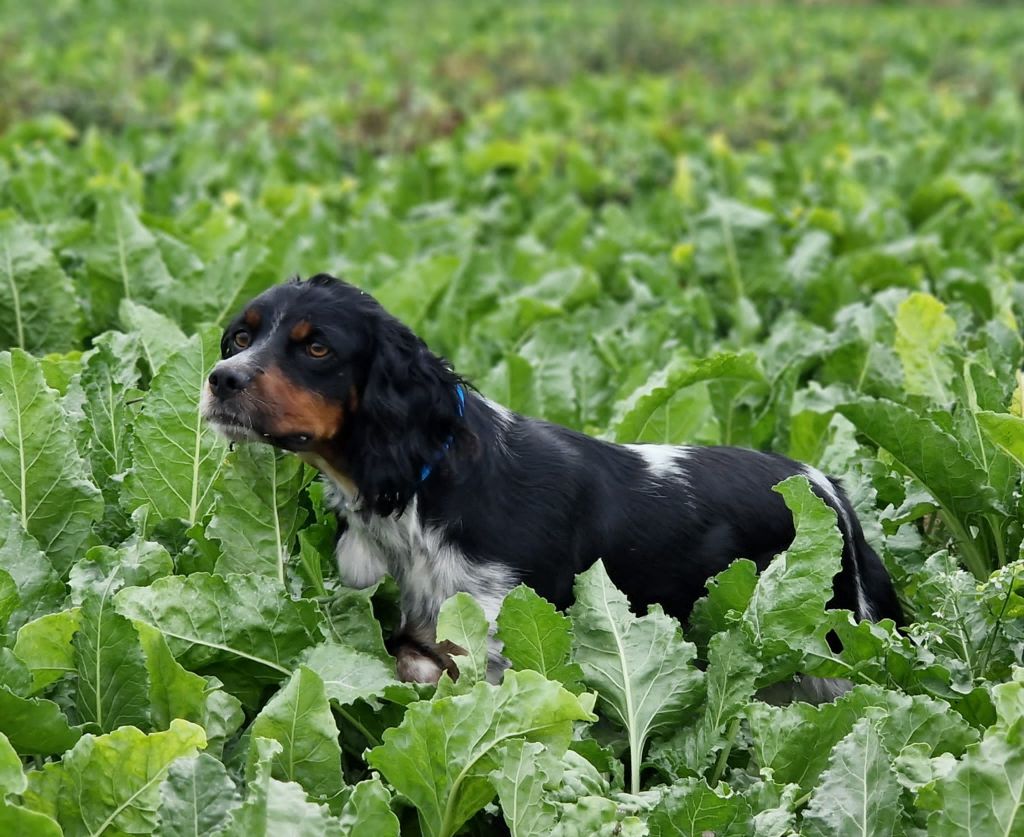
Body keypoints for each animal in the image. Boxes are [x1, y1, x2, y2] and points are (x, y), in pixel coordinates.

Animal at [201, 274, 905, 684]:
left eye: (317, 347)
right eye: (240, 337)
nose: (221, 379)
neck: (427, 486)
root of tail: (826, 484)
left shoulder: (501, 642)